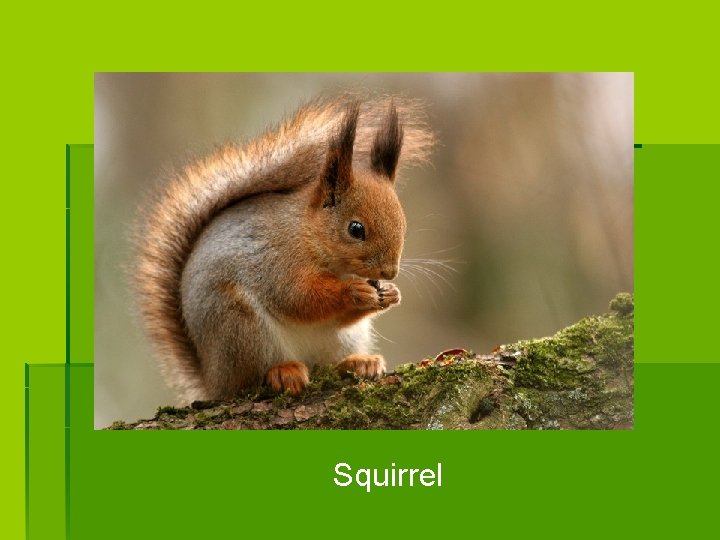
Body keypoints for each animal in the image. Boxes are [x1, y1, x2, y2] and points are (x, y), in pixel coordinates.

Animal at [135, 95, 434, 402]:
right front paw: (354, 291)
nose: (390, 272)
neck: (308, 234)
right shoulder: (278, 261)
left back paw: (358, 363)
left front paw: (391, 293)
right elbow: (298, 298)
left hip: (344, 339)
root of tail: (212, 380)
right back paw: (282, 372)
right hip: (238, 324)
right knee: (249, 381)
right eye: (356, 229)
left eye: (403, 225)